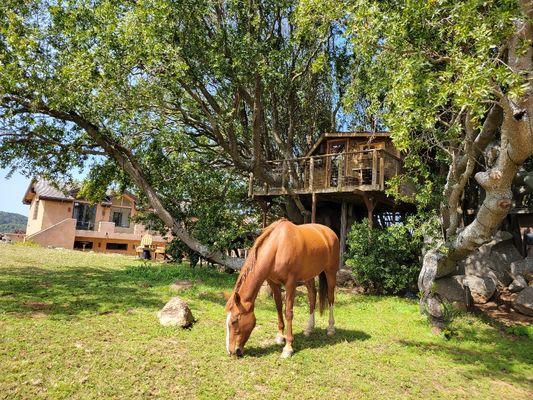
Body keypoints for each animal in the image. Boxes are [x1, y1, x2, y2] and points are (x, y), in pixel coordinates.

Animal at [223, 220, 336, 358]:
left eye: (234, 321)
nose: (231, 351)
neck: (277, 247)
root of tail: (328, 232)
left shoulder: (290, 284)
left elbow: (288, 312)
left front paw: (288, 347)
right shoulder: (273, 283)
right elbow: (278, 307)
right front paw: (280, 336)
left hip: (331, 272)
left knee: (330, 298)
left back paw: (331, 328)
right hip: (309, 276)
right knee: (312, 296)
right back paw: (309, 329)